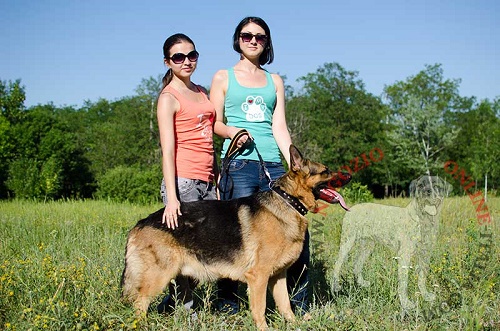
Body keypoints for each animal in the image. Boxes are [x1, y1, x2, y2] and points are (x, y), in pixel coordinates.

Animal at [119, 145, 350, 330]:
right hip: (159, 276)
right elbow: (260, 309)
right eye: (326, 171)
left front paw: (294, 325)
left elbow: (286, 306)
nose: (349, 176)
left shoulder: (278, 277)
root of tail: (140, 223)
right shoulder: (258, 277)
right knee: (139, 303)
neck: (288, 201)